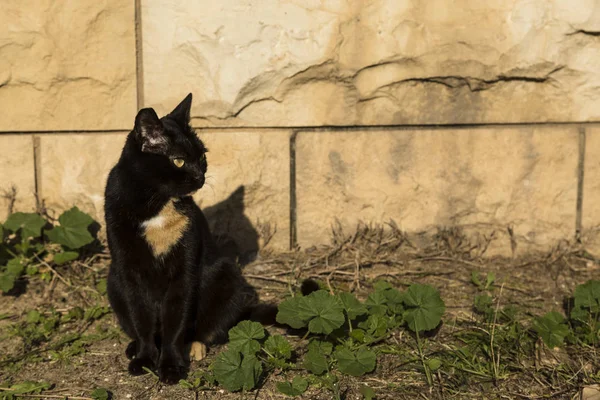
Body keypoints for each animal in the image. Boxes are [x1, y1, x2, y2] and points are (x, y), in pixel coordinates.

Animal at [104, 94, 278, 384]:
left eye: (202, 156)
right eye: (178, 161)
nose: (200, 175)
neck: (156, 204)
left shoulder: (184, 271)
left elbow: (176, 322)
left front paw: (170, 366)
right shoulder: (128, 271)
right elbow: (141, 319)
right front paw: (144, 358)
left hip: (225, 274)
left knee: (210, 328)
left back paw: (194, 347)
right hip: (112, 279)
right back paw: (133, 347)